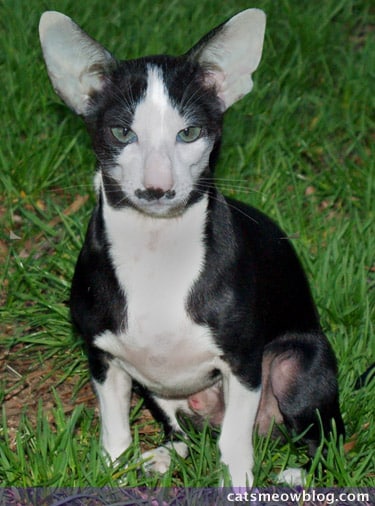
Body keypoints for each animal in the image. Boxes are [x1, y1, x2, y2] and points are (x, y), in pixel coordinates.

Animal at [39, 8, 346, 486]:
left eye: (190, 133)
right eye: (121, 132)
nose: (157, 189)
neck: (156, 247)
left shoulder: (243, 364)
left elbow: (234, 444)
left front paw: (236, 485)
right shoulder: (104, 359)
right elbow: (115, 429)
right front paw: (114, 474)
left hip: (294, 365)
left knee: (325, 439)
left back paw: (297, 475)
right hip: (157, 391)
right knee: (183, 434)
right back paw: (163, 457)